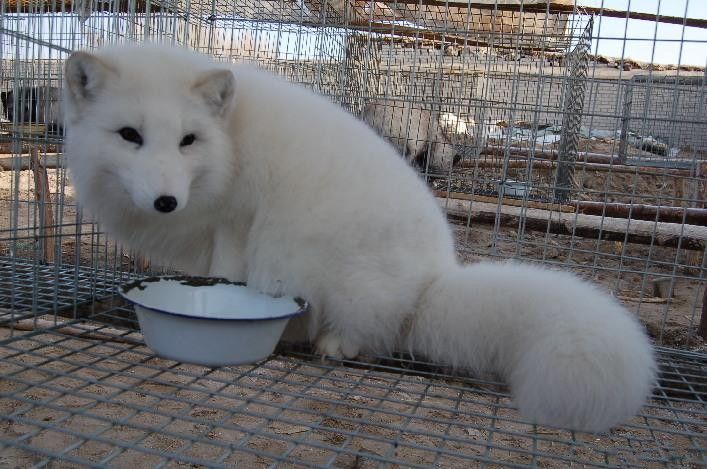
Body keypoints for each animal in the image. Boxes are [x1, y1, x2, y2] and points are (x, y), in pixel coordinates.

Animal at [62, 42, 656, 433]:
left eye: (188, 140)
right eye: (129, 135)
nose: (166, 200)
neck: (231, 144)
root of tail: (431, 287)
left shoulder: (239, 220)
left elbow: (227, 276)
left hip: (338, 271)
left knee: (370, 336)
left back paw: (335, 344)